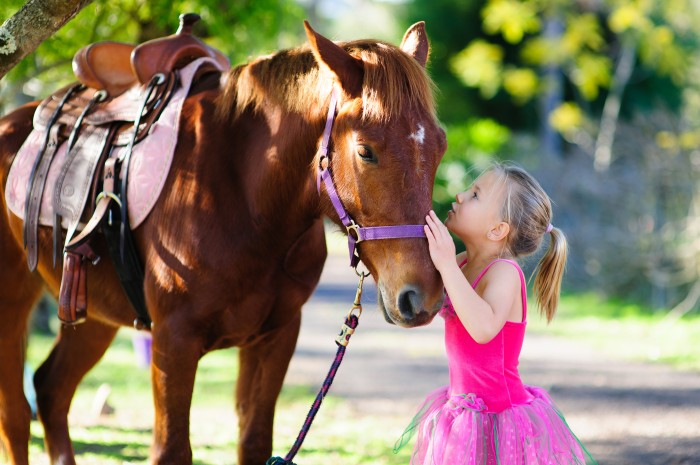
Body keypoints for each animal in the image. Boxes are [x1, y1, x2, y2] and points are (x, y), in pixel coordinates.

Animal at [0, 19, 448, 464]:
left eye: (440, 146)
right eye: (365, 151)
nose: (422, 295)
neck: (245, 200)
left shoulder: (276, 338)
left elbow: (254, 442)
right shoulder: (173, 343)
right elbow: (172, 449)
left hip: (92, 312)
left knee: (51, 391)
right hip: (15, 303)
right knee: (17, 414)